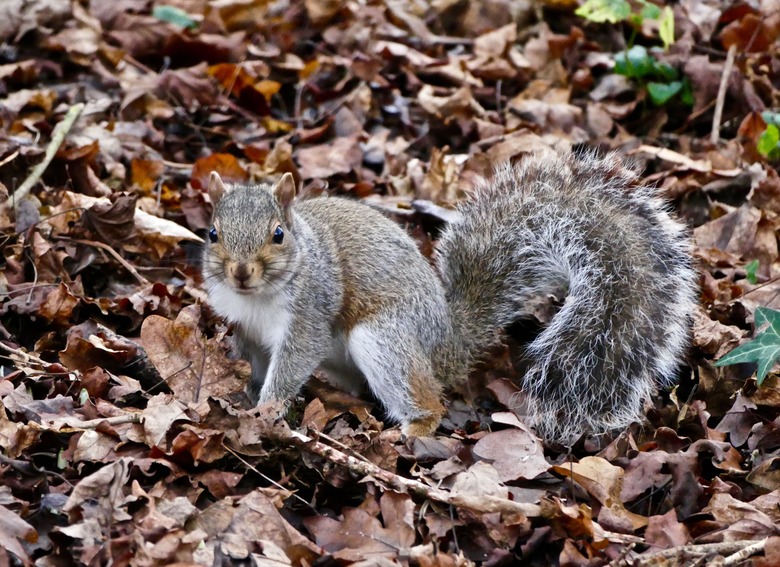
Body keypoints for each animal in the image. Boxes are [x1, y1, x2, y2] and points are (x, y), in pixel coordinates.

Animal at [202, 150, 698, 442]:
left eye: (278, 234)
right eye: (212, 233)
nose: (240, 272)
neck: (257, 298)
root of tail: (447, 343)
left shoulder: (310, 313)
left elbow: (292, 361)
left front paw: (266, 409)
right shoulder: (245, 328)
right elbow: (256, 359)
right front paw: (246, 394)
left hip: (384, 339)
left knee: (430, 401)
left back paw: (407, 429)